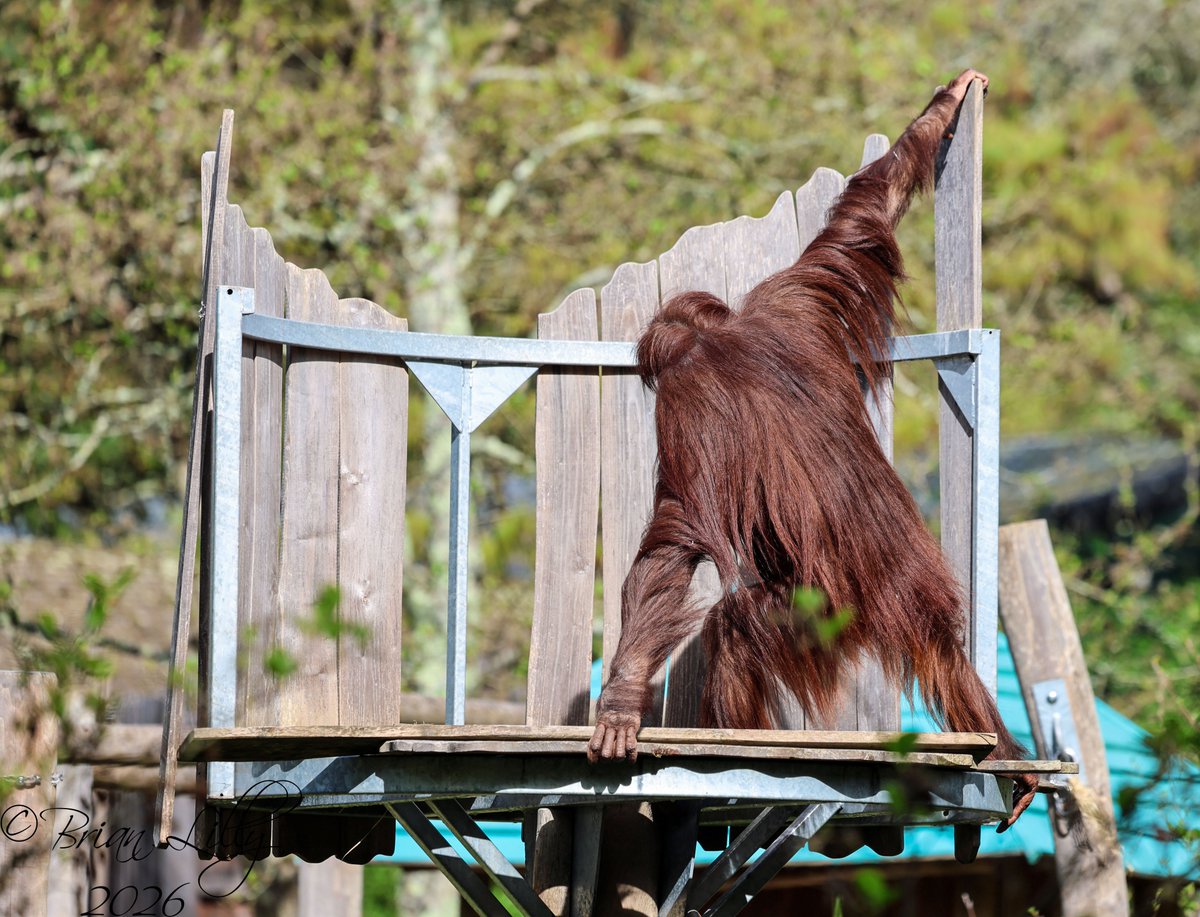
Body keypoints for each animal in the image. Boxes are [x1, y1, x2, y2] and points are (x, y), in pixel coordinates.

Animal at [587, 69, 1037, 829]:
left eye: (655, 368)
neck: (721, 331)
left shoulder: (684, 398)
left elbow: (676, 539)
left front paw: (619, 696)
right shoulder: (798, 292)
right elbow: (862, 215)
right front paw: (945, 104)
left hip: (820, 615)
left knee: (736, 623)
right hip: (908, 599)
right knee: (942, 652)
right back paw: (1000, 746)